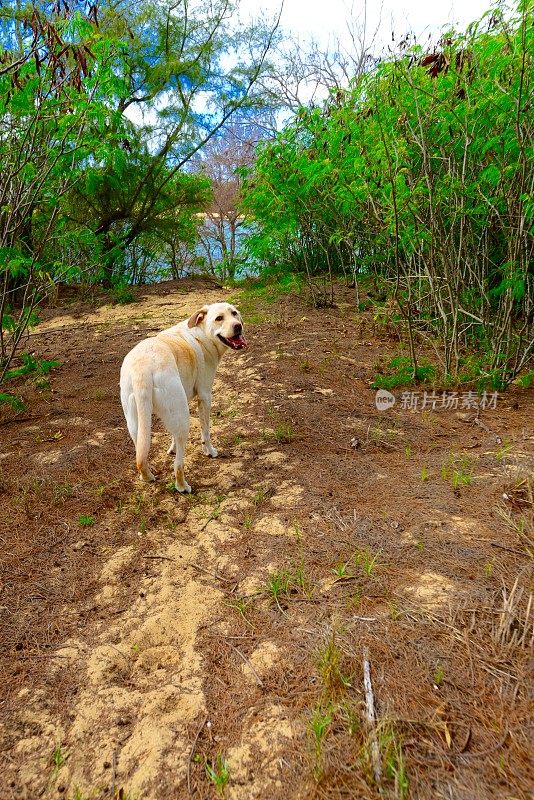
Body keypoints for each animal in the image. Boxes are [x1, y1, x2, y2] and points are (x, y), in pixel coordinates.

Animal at [120, 304, 248, 490]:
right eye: (219, 318)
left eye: (234, 313)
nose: (238, 326)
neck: (201, 334)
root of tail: (142, 367)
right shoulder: (205, 397)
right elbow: (205, 431)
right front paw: (210, 451)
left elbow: (172, 436)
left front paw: (171, 449)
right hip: (183, 419)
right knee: (178, 465)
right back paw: (182, 486)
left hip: (136, 424)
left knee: (141, 456)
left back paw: (147, 476)